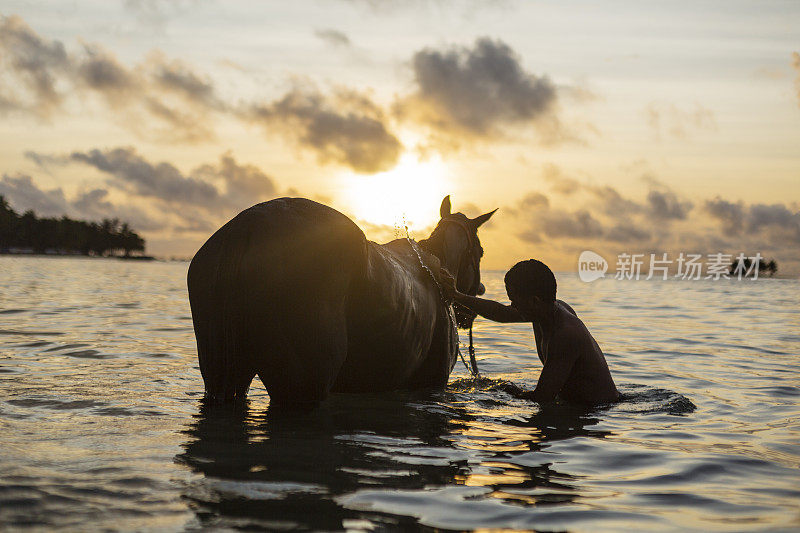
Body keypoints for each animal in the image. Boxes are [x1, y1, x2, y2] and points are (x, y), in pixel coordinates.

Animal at [188, 195, 496, 408]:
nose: (478, 294)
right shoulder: (432, 383)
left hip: (221, 376)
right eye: (480, 251)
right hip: (302, 387)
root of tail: (245, 228)